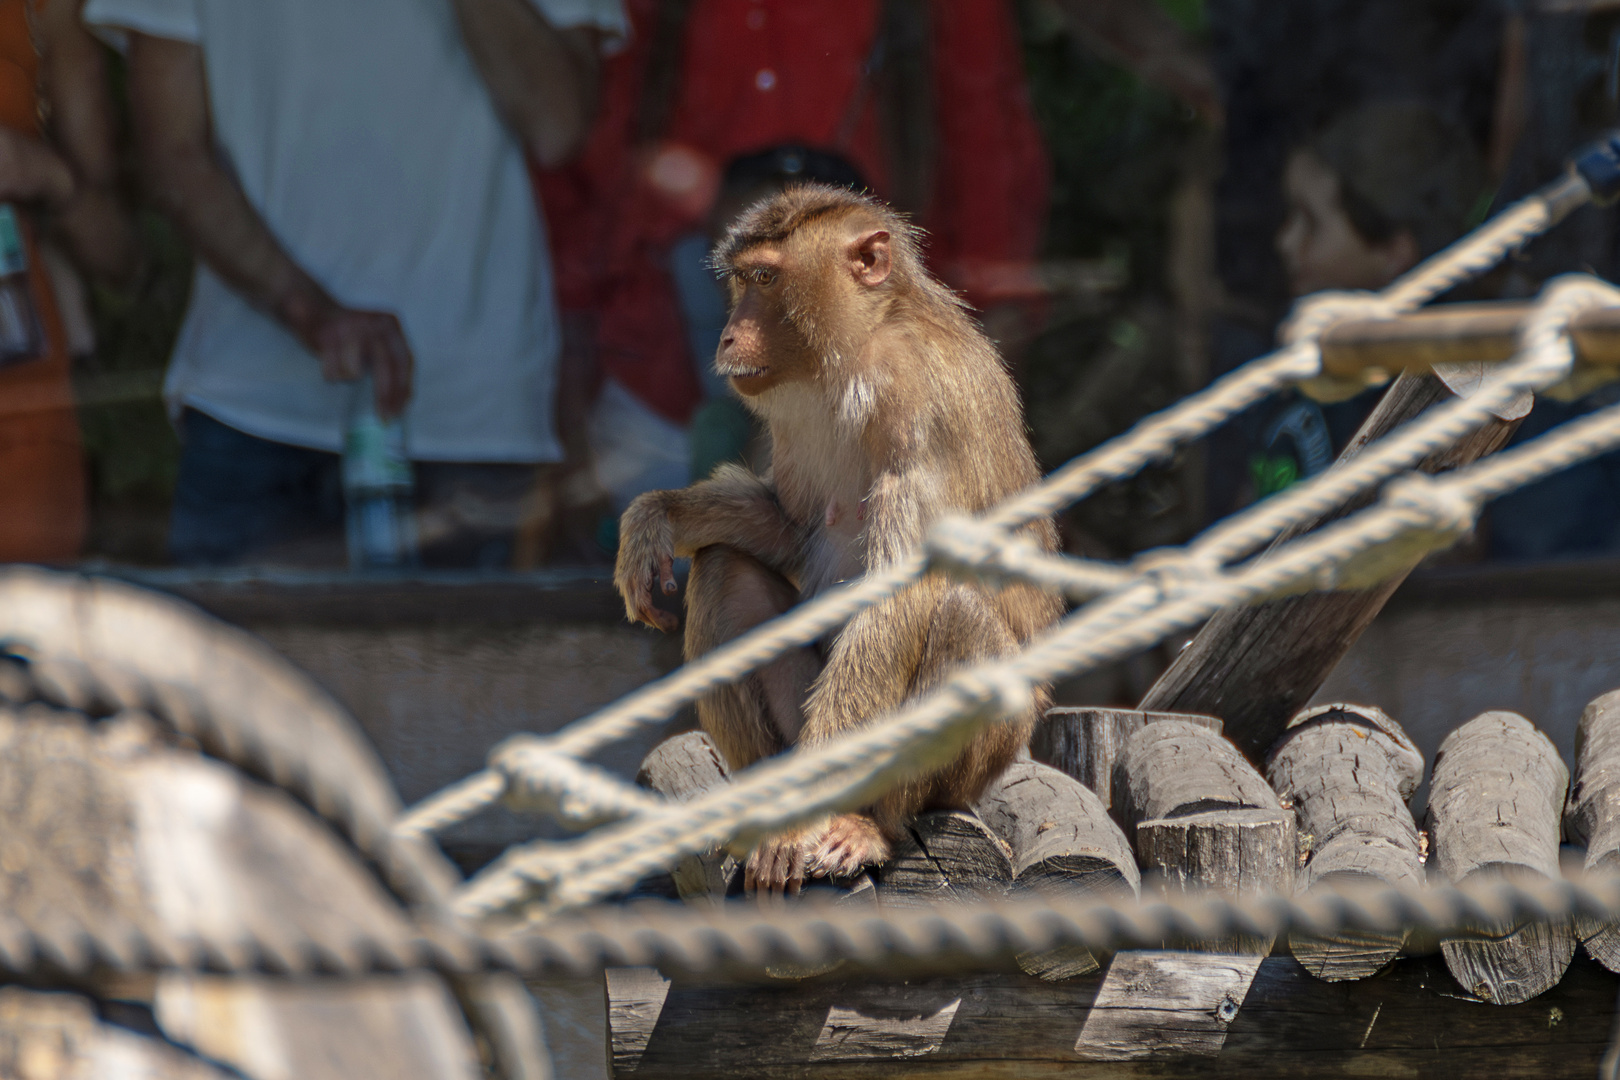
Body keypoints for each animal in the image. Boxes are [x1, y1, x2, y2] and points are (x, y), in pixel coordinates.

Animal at [609, 186, 1062, 893]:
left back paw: (870, 824)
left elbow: (899, 597)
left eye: (766, 279)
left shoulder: (918, 407)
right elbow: (789, 529)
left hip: (983, 756)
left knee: (955, 614)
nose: (729, 333)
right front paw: (657, 517)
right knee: (725, 570)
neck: (859, 350)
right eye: (742, 279)